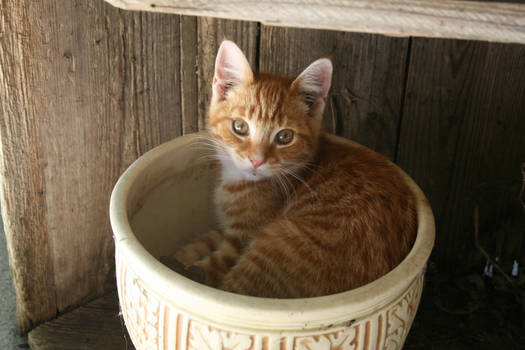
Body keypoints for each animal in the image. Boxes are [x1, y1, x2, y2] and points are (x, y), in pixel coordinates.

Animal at [174, 40, 416, 298]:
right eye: (239, 126)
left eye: (285, 137)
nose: (256, 160)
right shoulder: (225, 228)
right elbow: (206, 238)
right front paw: (183, 253)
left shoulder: (239, 241)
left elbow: (208, 267)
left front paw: (182, 263)